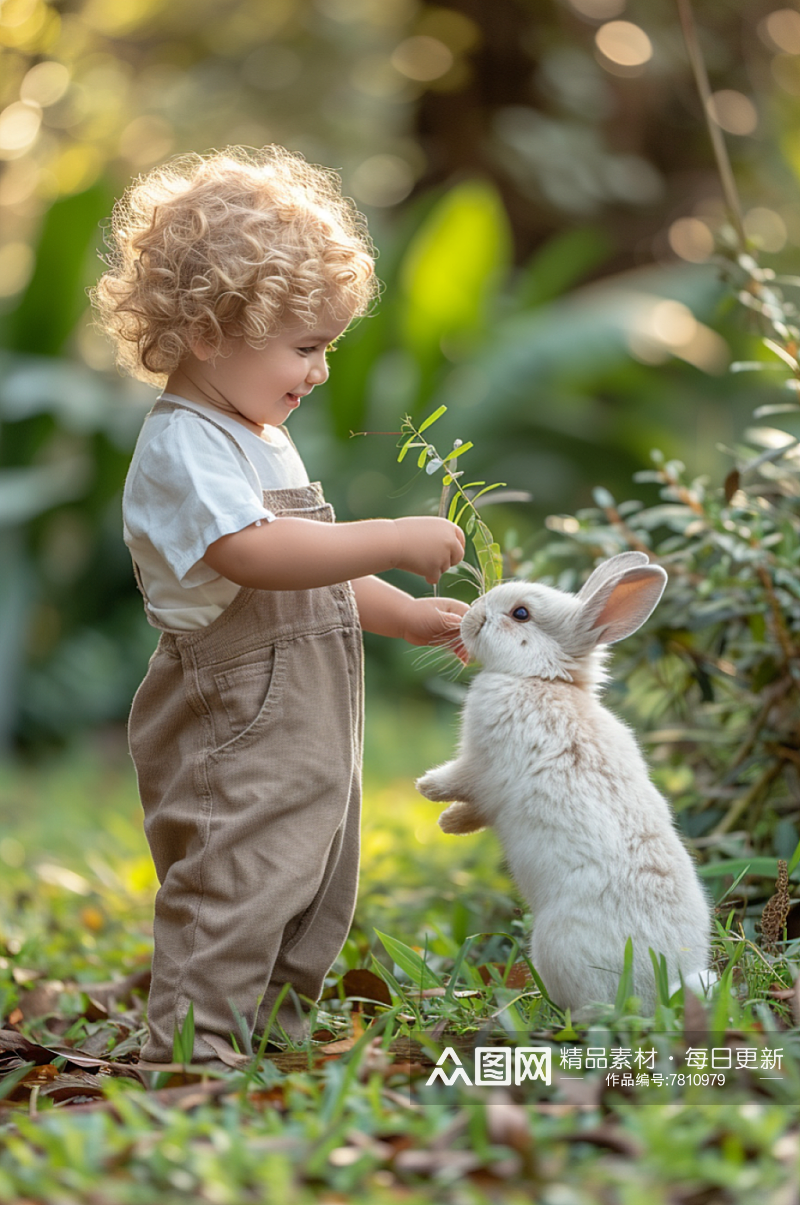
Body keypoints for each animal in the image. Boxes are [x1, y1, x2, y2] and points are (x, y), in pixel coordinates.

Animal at [414, 554, 708, 1017]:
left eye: (520, 614)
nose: (472, 615)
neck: (540, 678)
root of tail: (661, 989)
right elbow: (476, 811)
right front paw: (450, 822)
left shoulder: (481, 764)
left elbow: (460, 782)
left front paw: (429, 793)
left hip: (552, 945)